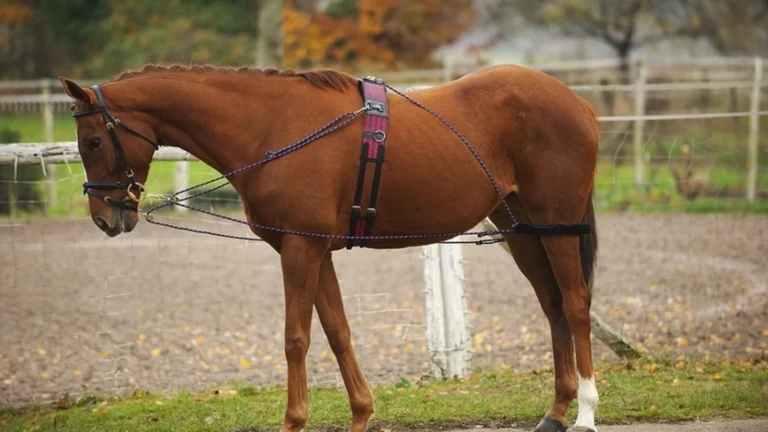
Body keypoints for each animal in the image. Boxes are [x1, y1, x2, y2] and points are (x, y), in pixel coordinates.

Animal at [59, 63, 600, 432]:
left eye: (92, 141)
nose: (105, 217)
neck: (272, 126)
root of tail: (577, 102)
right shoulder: (314, 251)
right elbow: (338, 331)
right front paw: (361, 413)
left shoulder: (301, 249)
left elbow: (296, 338)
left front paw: (294, 420)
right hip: (522, 230)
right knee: (553, 306)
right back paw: (556, 411)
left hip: (557, 225)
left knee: (575, 305)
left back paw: (586, 413)